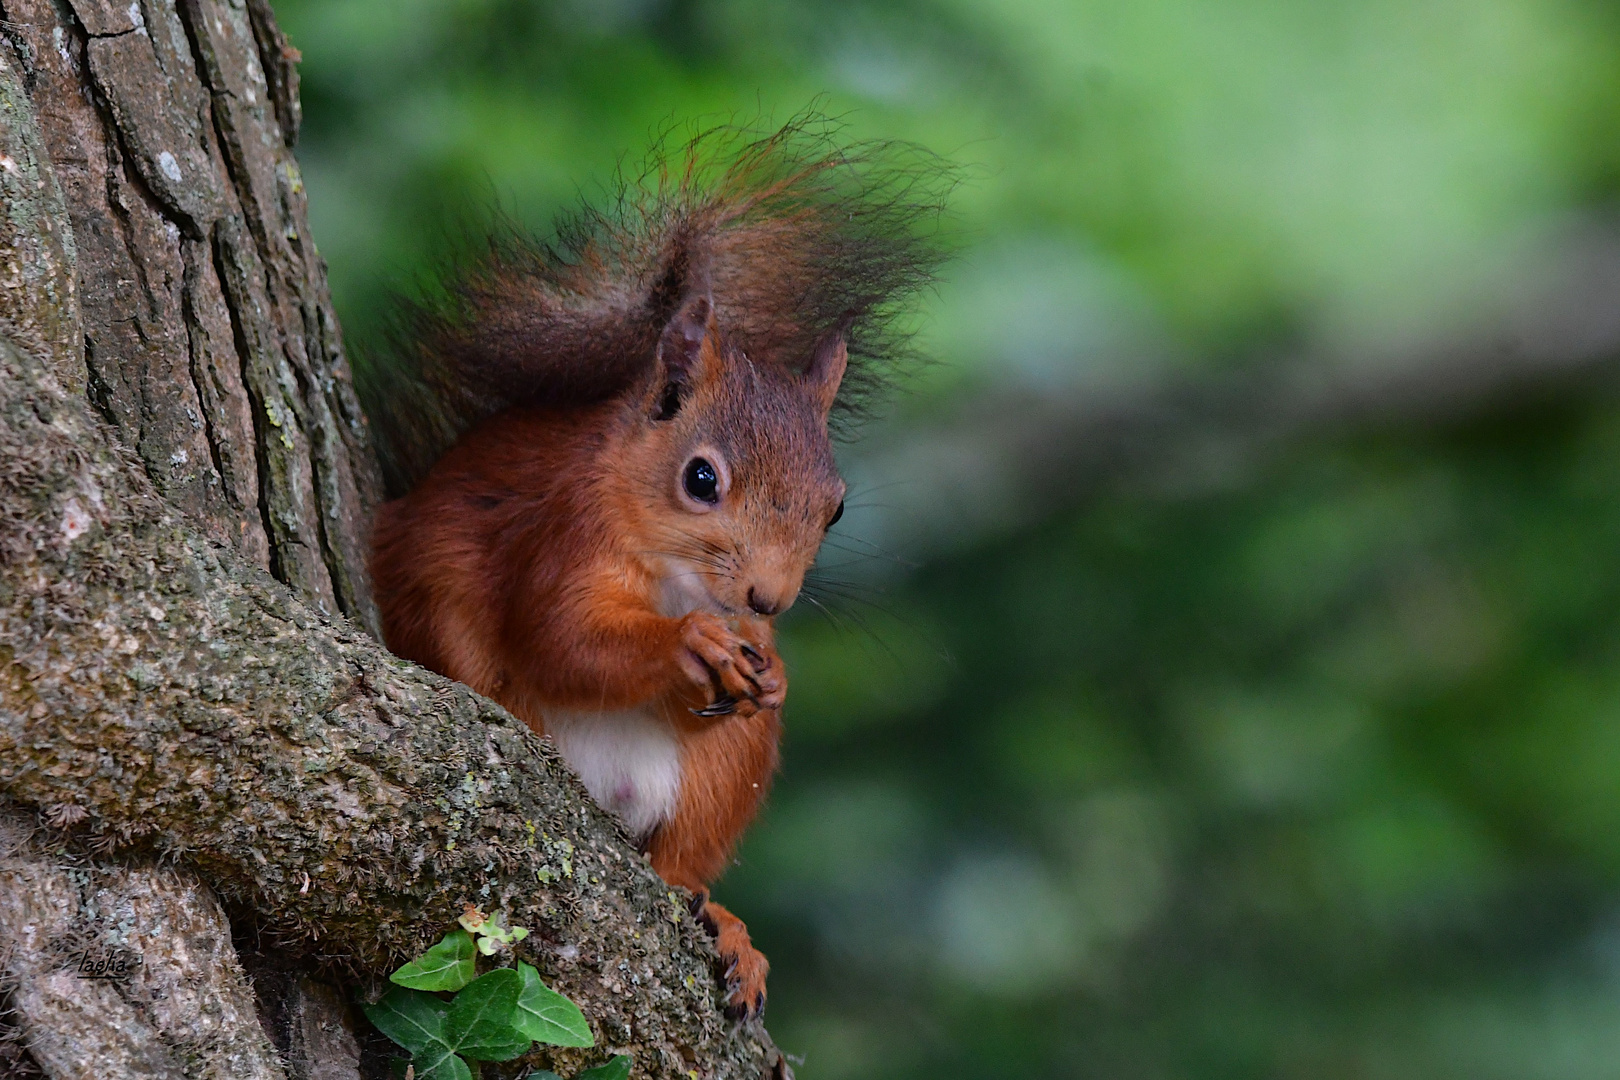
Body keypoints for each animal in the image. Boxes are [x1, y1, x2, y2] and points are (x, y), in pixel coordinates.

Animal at [364, 122, 946, 1016]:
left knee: (679, 869)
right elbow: (563, 638)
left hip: (723, 772)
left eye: (838, 508)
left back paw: (726, 926)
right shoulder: (562, 539)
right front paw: (690, 645)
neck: (677, 580)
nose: (768, 599)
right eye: (701, 479)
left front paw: (771, 668)